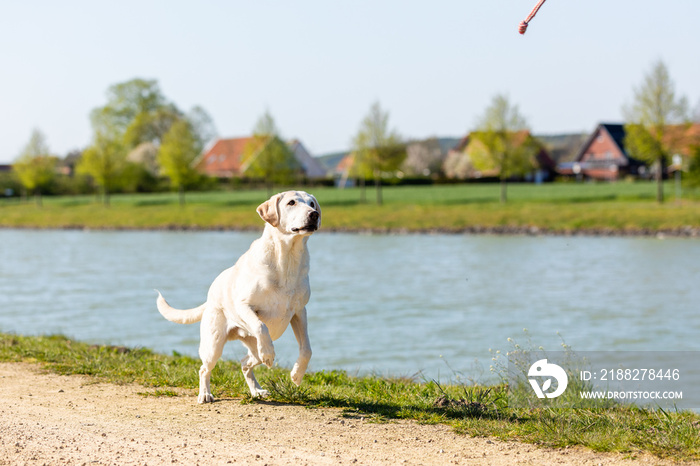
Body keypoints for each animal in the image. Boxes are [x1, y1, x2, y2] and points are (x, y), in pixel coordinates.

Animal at [156, 191, 320, 402]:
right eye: (291, 202)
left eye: (312, 203)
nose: (314, 214)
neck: (287, 260)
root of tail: (209, 297)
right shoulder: (244, 306)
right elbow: (261, 325)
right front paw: (269, 354)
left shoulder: (299, 312)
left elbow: (307, 349)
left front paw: (297, 375)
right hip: (213, 345)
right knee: (204, 369)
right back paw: (205, 394)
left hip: (251, 349)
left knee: (244, 362)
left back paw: (256, 390)